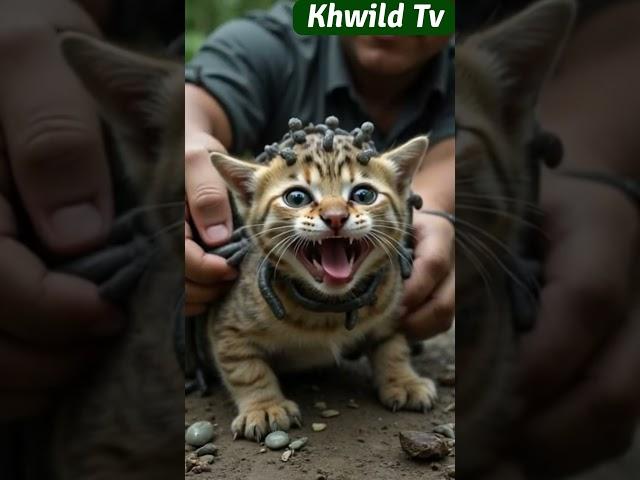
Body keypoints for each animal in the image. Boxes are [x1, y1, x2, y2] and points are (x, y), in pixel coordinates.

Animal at [209, 128, 436, 442]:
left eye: (364, 194)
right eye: (296, 197)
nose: (336, 217)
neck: (329, 310)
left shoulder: (389, 308)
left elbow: (392, 344)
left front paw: (403, 380)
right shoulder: (228, 327)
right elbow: (245, 367)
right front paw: (264, 406)